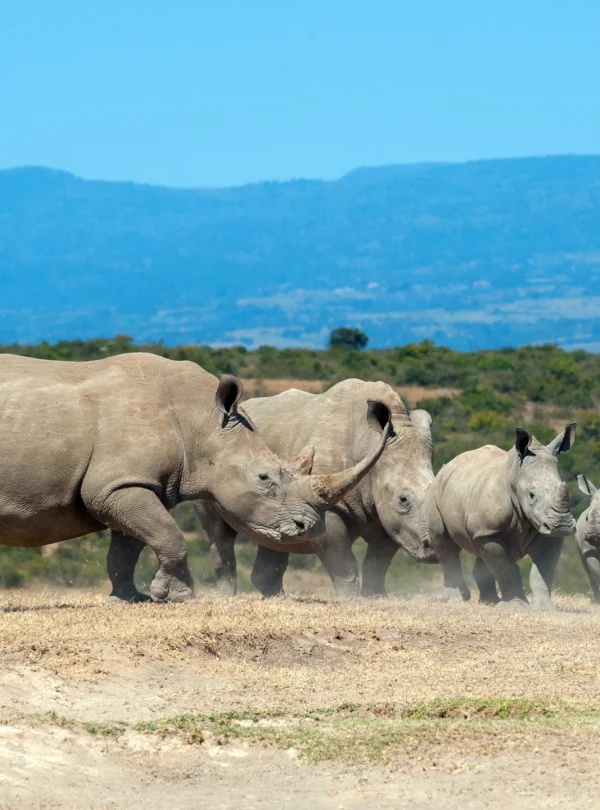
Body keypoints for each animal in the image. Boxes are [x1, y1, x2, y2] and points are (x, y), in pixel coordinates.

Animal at [0, 354, 390, 602]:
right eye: (264, 477)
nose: (309, 527)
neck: (198, 422)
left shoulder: (128, 483)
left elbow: (128, 546)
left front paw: (131, 598)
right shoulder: (118, 486)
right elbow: (168, 535)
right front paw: (178, 596)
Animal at [195, 379, 436, 598]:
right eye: (403, 499)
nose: (434, 548)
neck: (370, 442)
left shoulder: (388, 517)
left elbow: (378, 562)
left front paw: (376, 597)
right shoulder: (327, 506)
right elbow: (344, 564)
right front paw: (349, 600)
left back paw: (278, 598)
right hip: (211, 462)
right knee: (218, 531)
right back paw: (227, 597)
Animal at [425, 425, 576, 608]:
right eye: (531, 495)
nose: (562, 525)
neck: (515, 476)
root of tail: (446, 467)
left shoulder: (544, 528)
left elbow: (542, 570)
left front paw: (545, 608)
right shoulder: (491, 531)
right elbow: (506, 569)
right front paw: (517, 606)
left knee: (480, 552)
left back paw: (489, 602)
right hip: (436, 493)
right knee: (445, 544)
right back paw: (455, 600)